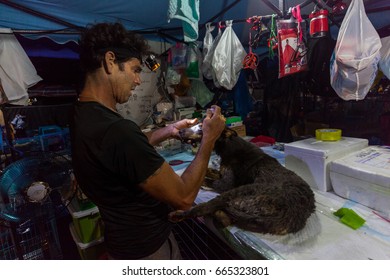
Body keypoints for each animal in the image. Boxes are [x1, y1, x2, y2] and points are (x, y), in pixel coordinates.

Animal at [169, 128, 316, 235]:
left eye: (201, 127)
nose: (180, 131)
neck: (230, 145)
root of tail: (289, 214)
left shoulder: (226, 184)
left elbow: (205, 179)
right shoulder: (221, 173)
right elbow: (209, 170)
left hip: (234, 193)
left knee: (204, 208)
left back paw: (181, 214)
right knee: (225, 219)